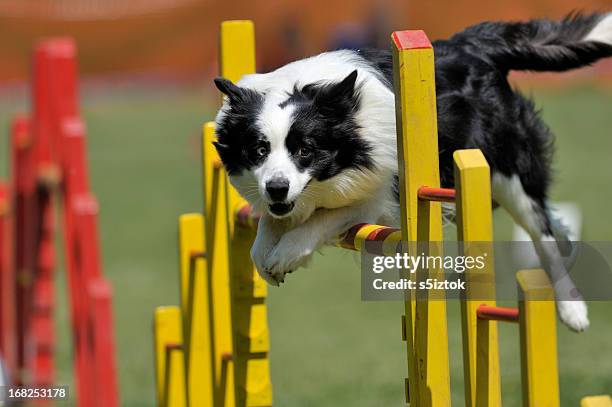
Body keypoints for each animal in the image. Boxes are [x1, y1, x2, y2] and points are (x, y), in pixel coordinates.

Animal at [214, 13, 612, 332]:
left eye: (305, 150)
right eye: (259, 150)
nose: (277, 188)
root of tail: (470, 45)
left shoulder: (378, 194)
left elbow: (321, 220)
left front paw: (285, 254)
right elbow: (267, 227)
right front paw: (266, 255)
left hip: (504, 168)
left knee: (541, 233)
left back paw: (572, 309)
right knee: (551, 221)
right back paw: (568, 243)